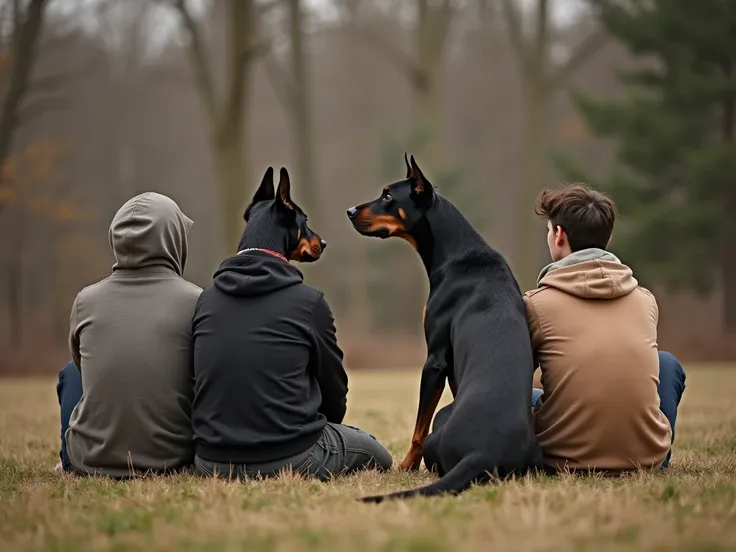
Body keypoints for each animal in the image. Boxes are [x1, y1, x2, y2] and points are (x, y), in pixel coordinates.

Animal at [344, 154, 540, 500]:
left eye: (388, 196)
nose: (351, 211)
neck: (457, 252)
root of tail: (482, 452)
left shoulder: (434, 359)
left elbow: (418, 429)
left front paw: (405, 466)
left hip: (443, 417)